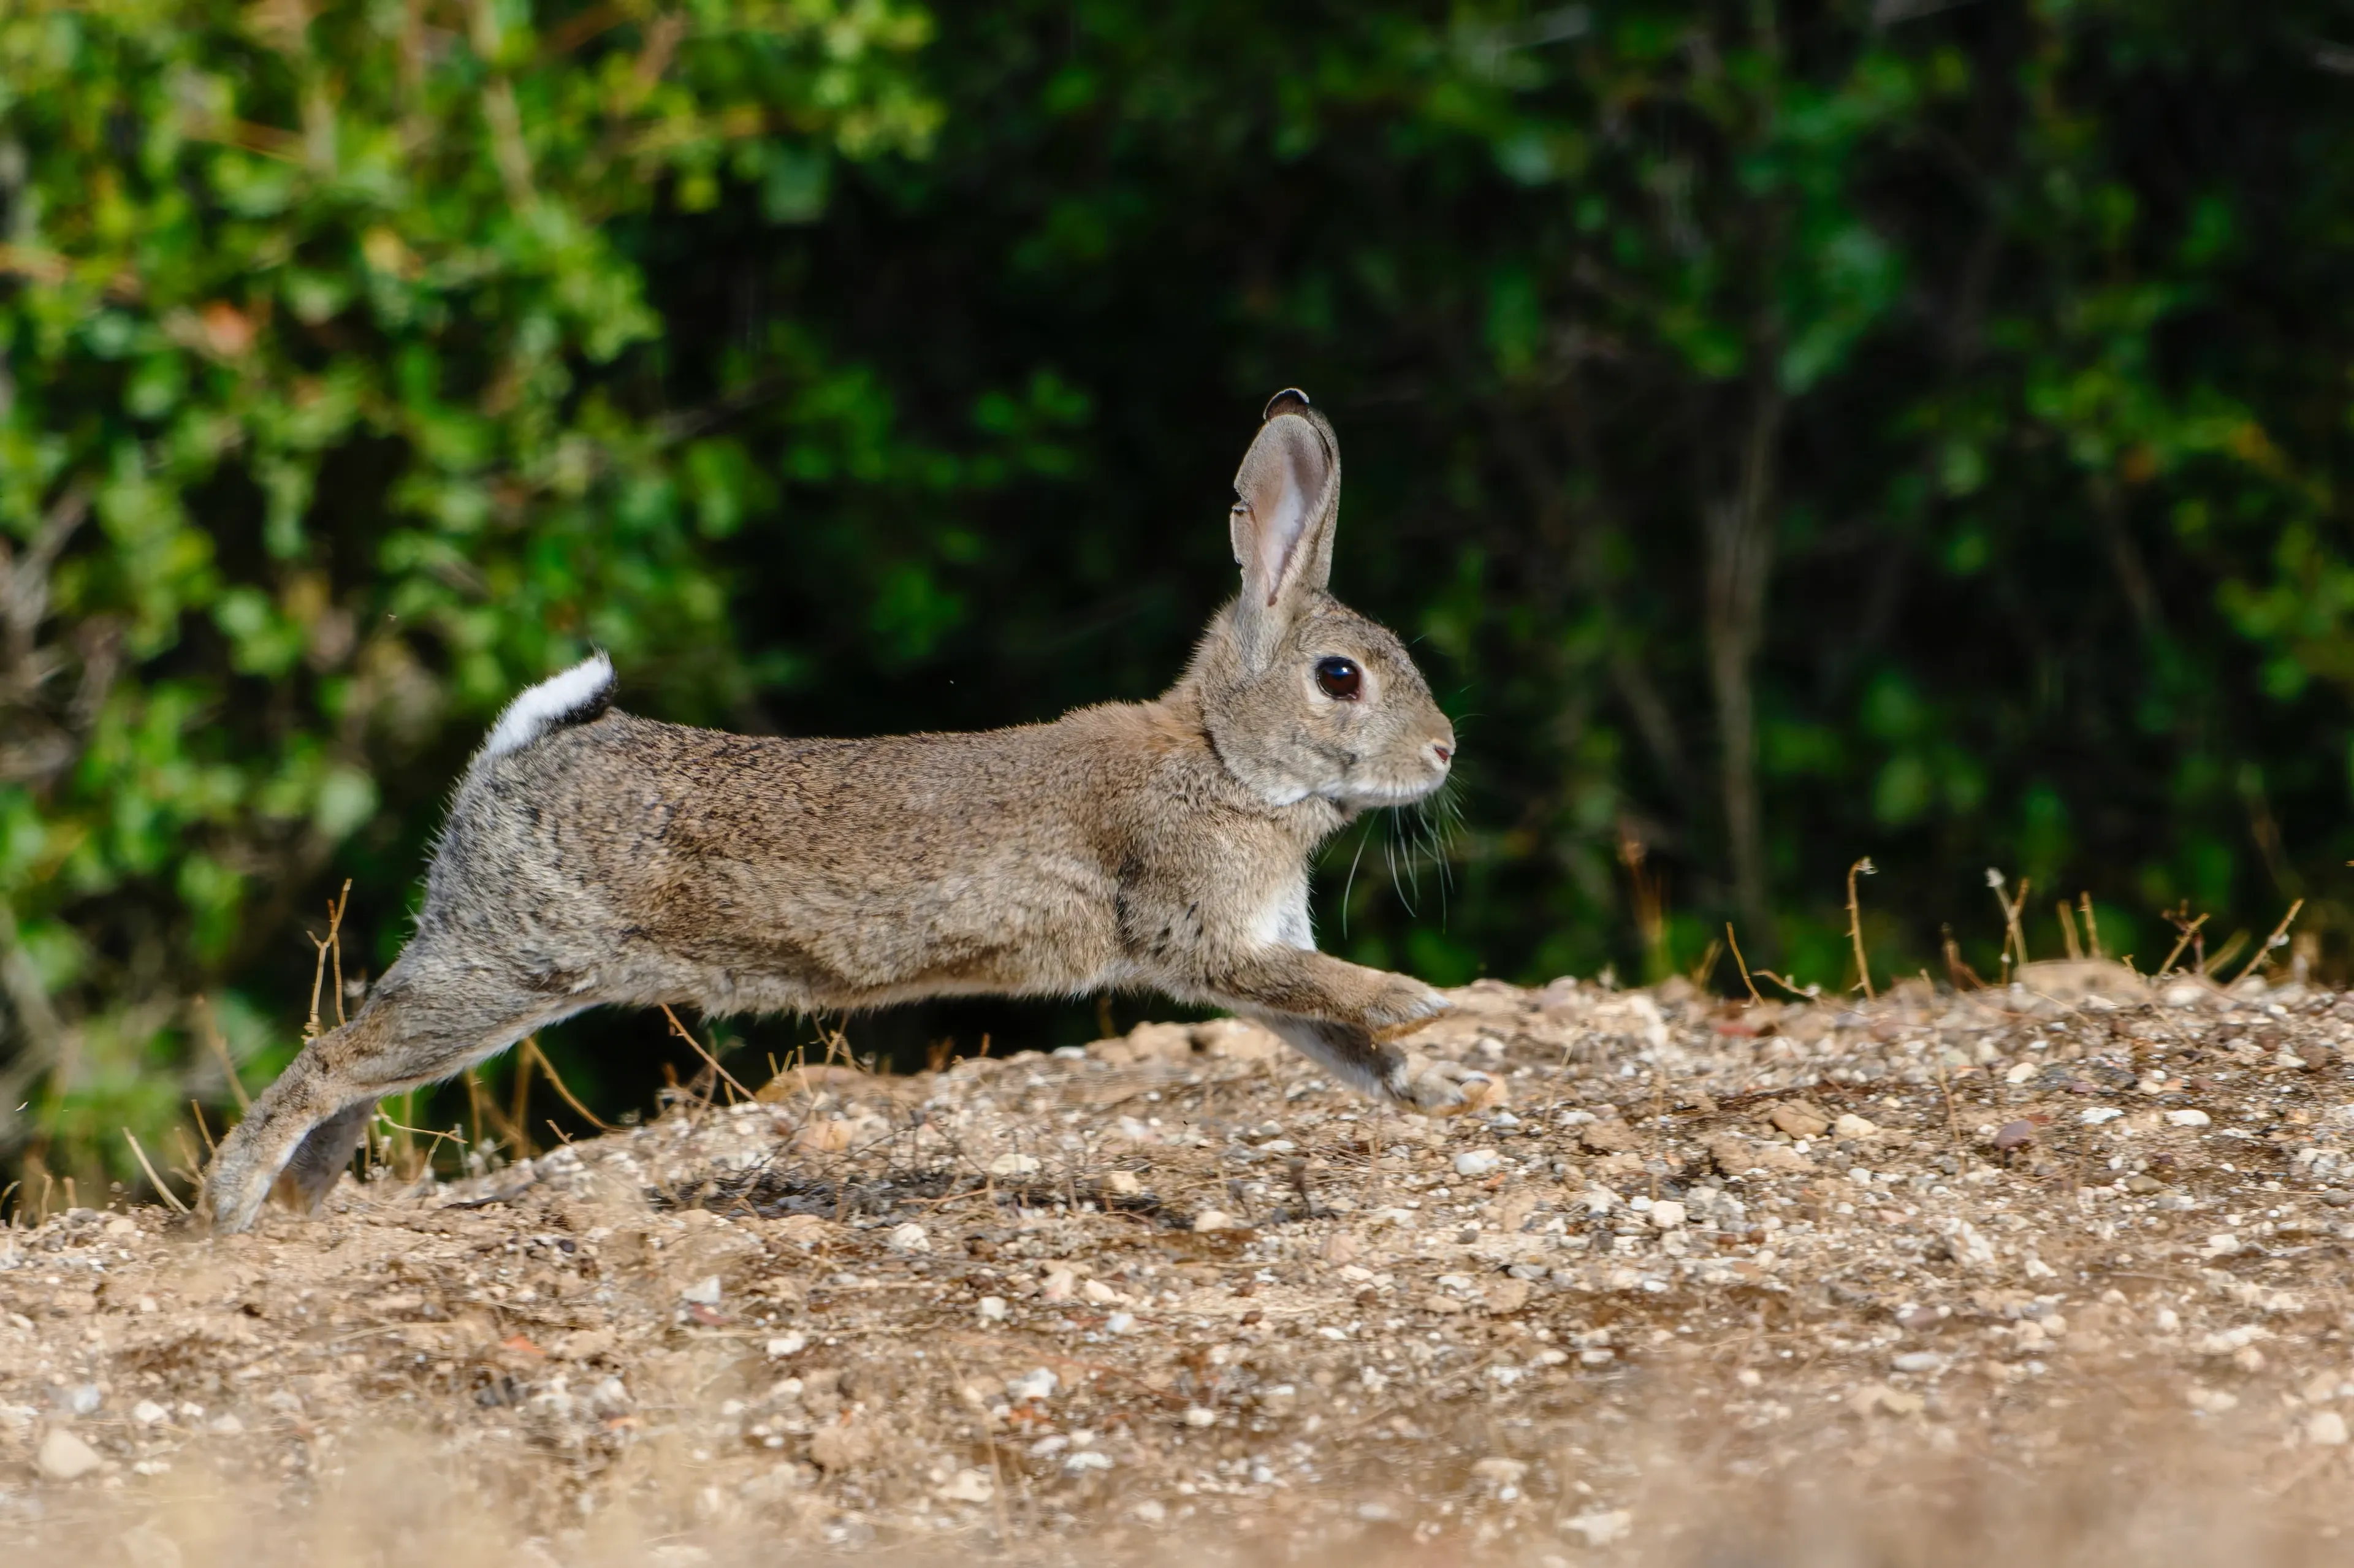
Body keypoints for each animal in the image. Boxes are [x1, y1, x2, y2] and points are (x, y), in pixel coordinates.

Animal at [201, 389, 1482, 1233]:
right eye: (1339, 678)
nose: (1444, 750)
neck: (1222, 753)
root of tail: (517, 755)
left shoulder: (1248, 958)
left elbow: (1337, 1043)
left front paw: (1441, 1085)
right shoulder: (1202, 930)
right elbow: (1331, 997)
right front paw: (1422, 1001)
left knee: (360, 1066)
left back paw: (304, 1204)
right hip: (507, 966)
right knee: (334, 1058)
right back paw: (234, 1203)